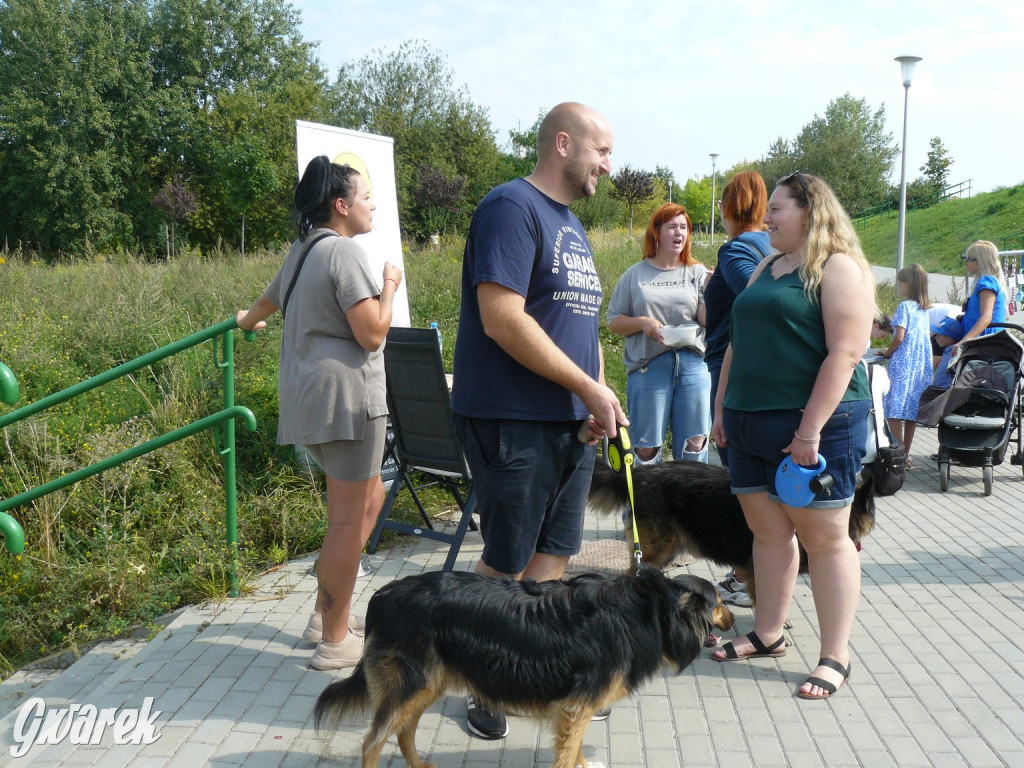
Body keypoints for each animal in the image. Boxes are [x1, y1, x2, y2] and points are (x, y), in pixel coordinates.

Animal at [313, 565, 737, 768]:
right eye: (718, 603)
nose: (733, 619)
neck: (651, 609)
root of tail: (381, 596)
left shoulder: (575, 707)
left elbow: (574, 748)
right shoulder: (577, 706)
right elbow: (567, 753)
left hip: (426, 684)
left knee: (403, 730)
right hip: (411, 683)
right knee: (372, 742)